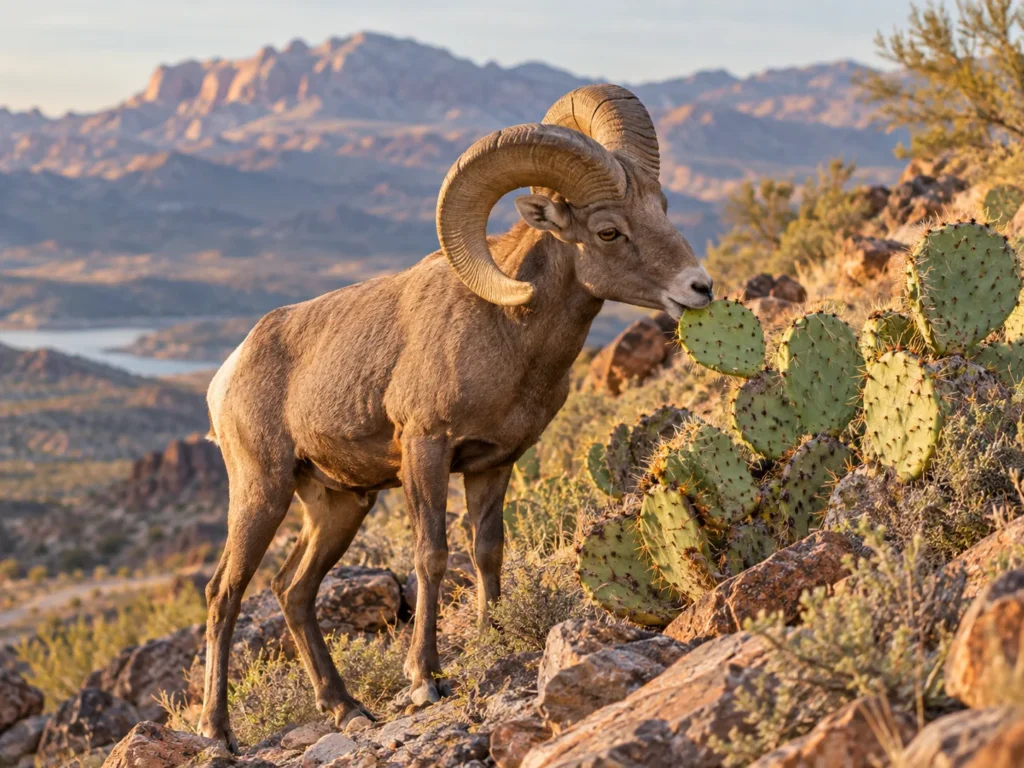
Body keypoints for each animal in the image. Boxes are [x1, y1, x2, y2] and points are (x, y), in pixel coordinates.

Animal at [199, 84, 713, 750]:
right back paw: (217, 733)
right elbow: (433, 556)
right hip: (262, 490)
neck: (507, 331)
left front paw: (494, 641)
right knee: (224, 594)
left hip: (339, 504)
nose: (699, 288)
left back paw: (347, 710)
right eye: (608, 230)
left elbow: (486, 551)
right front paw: (425, 680)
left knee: (293, 590)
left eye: (662, 206)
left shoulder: (493, 464)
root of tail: (228, 374)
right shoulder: (427, 449)